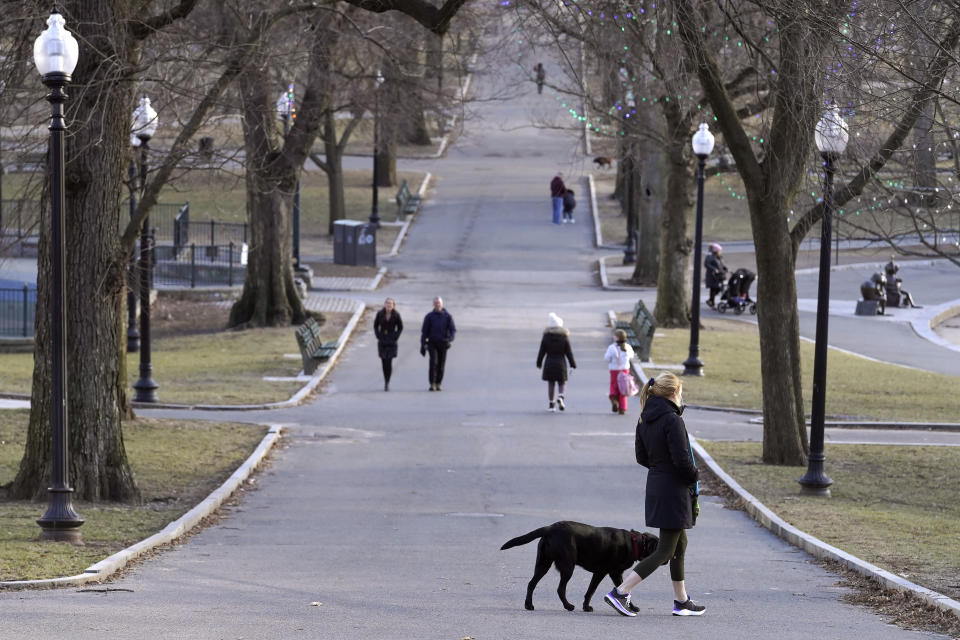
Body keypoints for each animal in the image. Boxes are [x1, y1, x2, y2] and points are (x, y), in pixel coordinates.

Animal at [498, 520, 656, 616]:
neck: (635, 543)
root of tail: (550, 528)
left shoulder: (603, 573)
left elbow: (590, 591)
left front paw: (586, 607)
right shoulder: (611, 573)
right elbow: (612, 590)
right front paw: (631, 608)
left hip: (543, 564)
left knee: (531, 583)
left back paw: (529, 605)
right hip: (568, 566)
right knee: (560, 589)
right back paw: (568, 606)